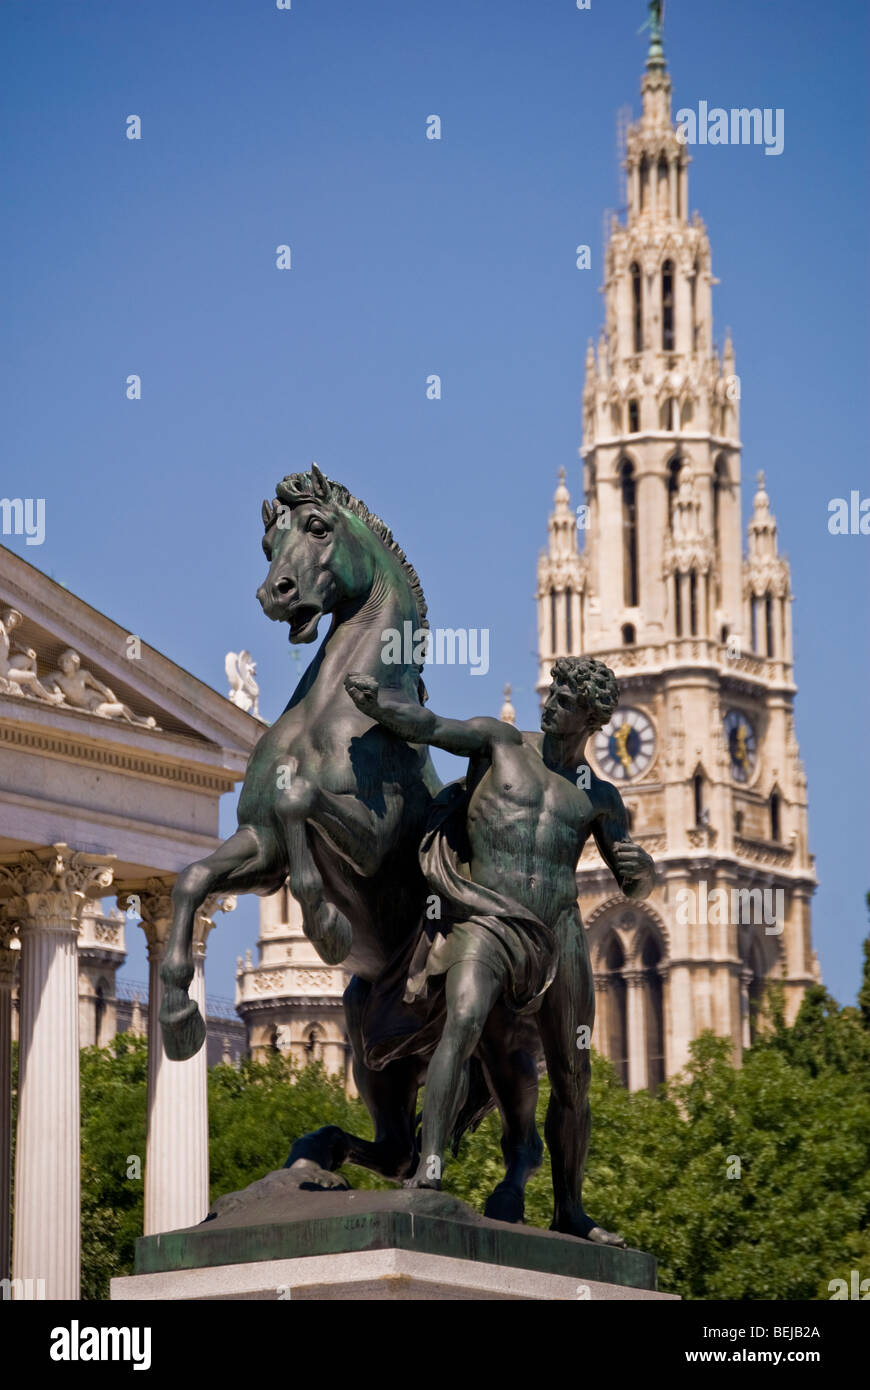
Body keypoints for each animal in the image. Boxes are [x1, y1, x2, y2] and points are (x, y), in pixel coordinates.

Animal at [157, 464, 439, 1173]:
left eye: (317, 526)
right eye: (266, 544)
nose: (273, 593)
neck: (330, 710)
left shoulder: (375, 843)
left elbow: (299, 800)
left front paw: (327, 925)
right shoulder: (260, 849)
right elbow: (192, 878)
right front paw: (176, 1014)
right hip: (374, 1039)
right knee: (398, 1148)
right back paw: (321, 1149)